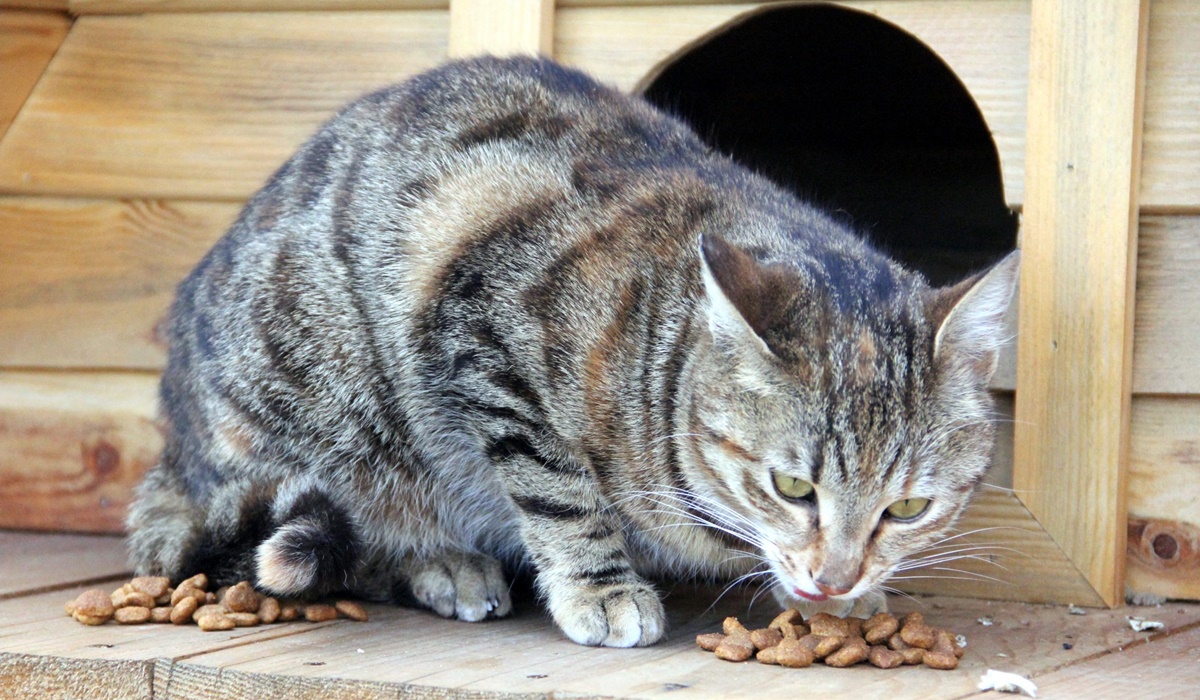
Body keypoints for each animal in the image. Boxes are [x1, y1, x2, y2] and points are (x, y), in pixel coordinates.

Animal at [126, 53, 1017, 648]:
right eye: (792, 486)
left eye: (908, 508)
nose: (835, 578)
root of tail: (173, 456)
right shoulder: (486, 324)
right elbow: (559, 490)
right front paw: (603, 588)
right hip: (327, 408)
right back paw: (444, 563)